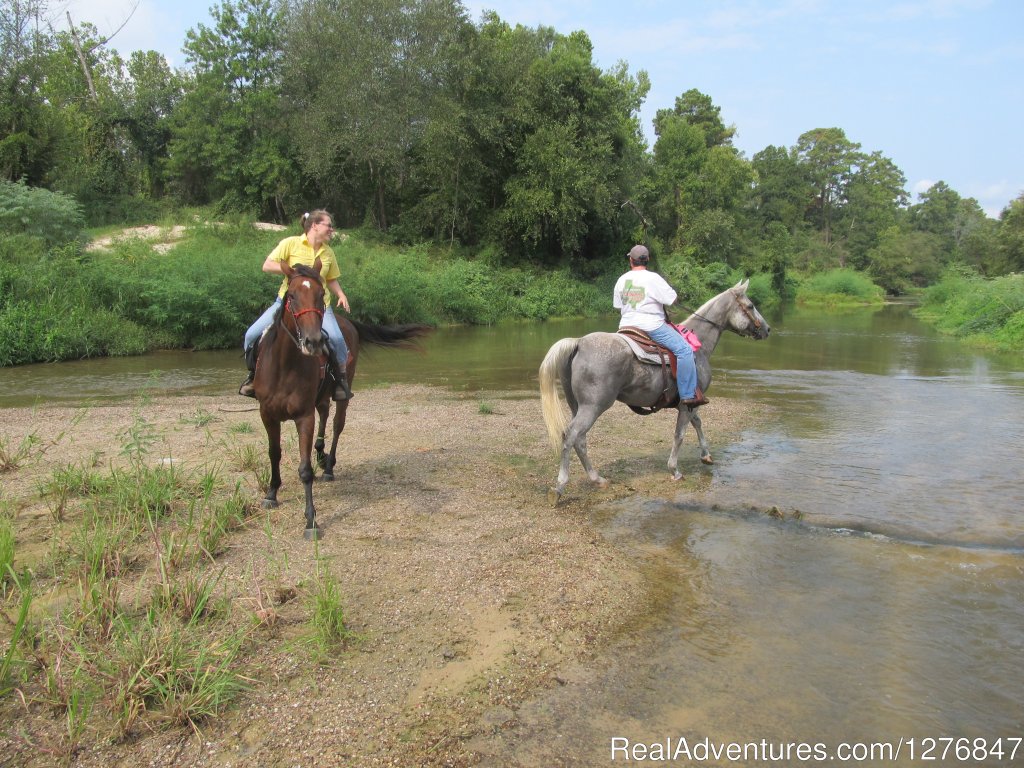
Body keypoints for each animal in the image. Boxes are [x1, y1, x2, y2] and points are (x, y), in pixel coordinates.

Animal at [256, 262, 432, 536]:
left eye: (321, 294)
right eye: (292, 296)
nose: (314, 341)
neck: (284, 366)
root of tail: (347, 322)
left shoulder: (303, 416)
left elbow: (304, 469)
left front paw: (311, 520)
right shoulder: (267, 414)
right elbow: (274, 453)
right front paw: (272, 494)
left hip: (343, 393)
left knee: (337, 424)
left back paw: (328, 467)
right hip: (320, 396)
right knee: (324, 414)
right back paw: (321, 454)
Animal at [544, 280, 770, 501]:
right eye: (750, 306)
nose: (767, 329)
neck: (698, 348)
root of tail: (579, 343)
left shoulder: (689, 403)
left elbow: (697, 423)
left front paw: (706, 455)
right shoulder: (687, 404)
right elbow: (680, 434)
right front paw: (674, 470)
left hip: (577, 406)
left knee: (580, 440)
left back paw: (597, 479)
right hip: (593, 407)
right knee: (571, 435)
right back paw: (559, 487)